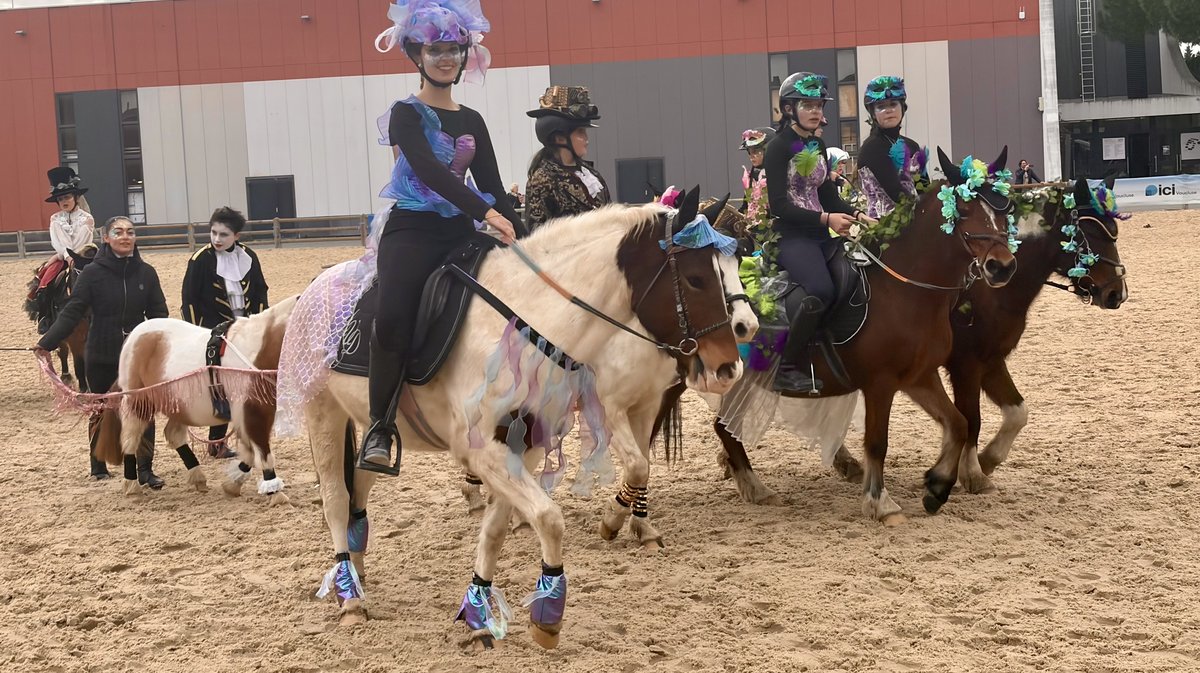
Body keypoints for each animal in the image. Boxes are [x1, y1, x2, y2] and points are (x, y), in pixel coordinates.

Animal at [23, 247, 96, 390]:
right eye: (78, 274)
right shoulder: (74, 340)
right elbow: (79, 366)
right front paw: (84, 389)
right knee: (63, 352)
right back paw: (66, 375)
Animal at [95, 296, 298, 501]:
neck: (259, 350)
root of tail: (133, 336)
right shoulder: (253, 413)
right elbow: (263, 453)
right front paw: (275, 493)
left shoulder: (256, 414)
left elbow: (250, 454)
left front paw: (232, 484)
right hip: (139, 403)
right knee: (130, 439)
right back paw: (132, 486)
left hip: (178, 406)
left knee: (173, 435)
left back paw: (198, 476)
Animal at [294, 189, 744, 646]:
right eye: (696, 279)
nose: (728, 369)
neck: (525, 324)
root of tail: (312, 288)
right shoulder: (490, 448)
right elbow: (550, 517)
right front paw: (548, 612)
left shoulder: (525, 443)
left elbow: (496, 530)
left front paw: (477, 612)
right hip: (322, 413)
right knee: (336, 499)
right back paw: (349, 597)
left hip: (370, 423)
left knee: (360, 485)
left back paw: (356, 570)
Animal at [660, 148, 1020, 525]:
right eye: (962, 211)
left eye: (1004, 209)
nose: (1001, 267)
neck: (906, 289)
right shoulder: (881, 383)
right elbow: (877, 442)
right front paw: (880, 503)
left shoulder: (920, 377)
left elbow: (958, 423)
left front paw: (936, 487)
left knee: (724, 428)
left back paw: (752, 485)